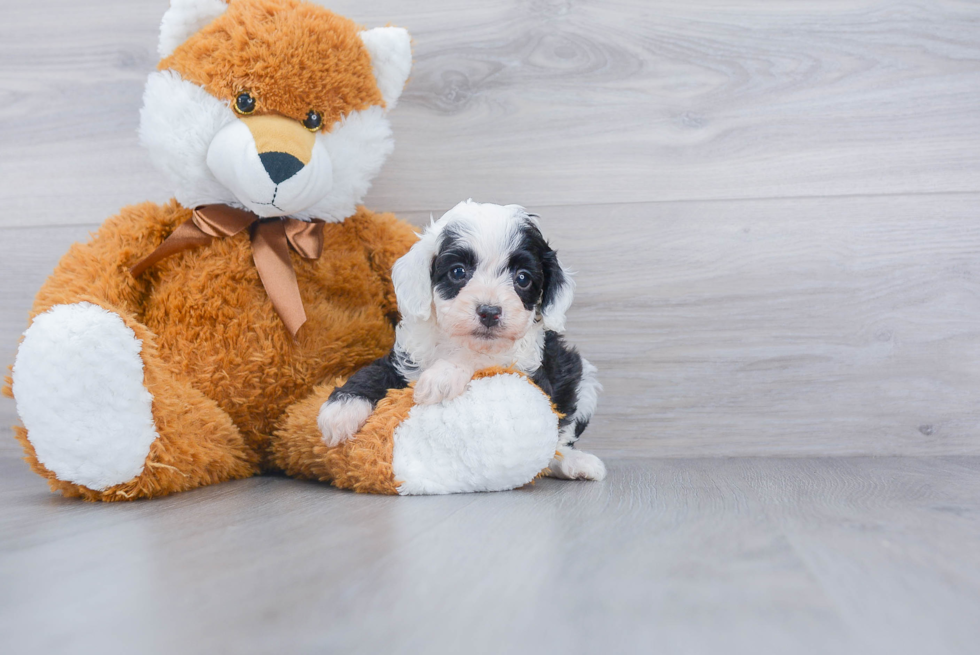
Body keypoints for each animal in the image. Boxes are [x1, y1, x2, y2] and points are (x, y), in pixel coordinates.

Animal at [318, 200, 604, 482]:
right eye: (458, 272)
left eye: (523, 278)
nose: (489, 312)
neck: (457, 341)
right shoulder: (406, 357)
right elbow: (375, 372)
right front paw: (340, 410)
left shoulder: (531, 373)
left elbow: (485, 359)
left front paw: (443, 375)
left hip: (582, 379)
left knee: (558, 440)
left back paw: (576, 463)